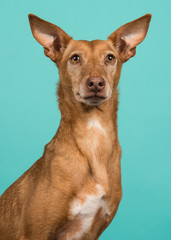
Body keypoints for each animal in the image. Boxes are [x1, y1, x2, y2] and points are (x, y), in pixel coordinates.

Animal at [0, 13, 152, 240]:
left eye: (110, 58)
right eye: (75, 58)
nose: (96, 83)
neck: (93, 137)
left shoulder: (92, 230)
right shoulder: (35, 232)